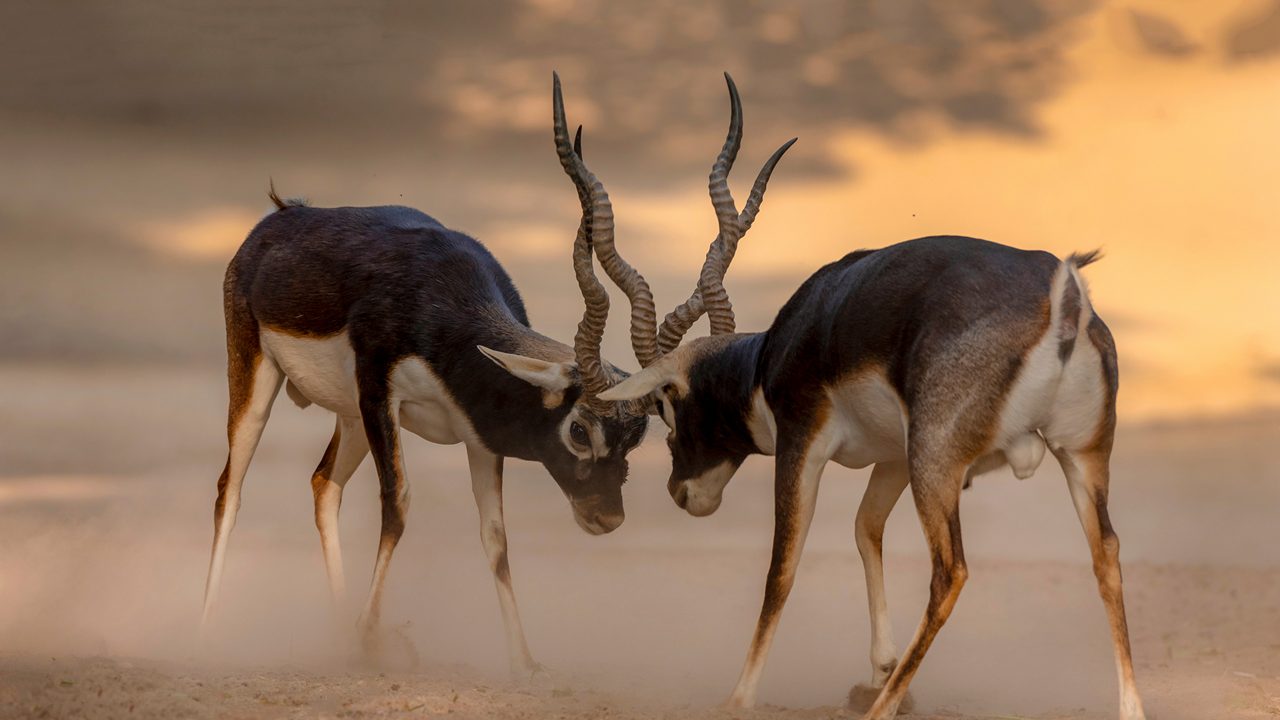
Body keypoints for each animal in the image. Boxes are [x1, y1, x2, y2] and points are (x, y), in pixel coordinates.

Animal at [586, 79, 1146, 717]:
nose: (682, 493)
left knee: (950, 572)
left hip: (937, 465)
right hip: (1078, 455)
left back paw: (880, 709)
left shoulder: (803, 443)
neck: (779, 350)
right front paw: (879, 670)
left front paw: (740, 695)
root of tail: (1062, 301)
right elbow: (864, 529)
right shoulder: (891, 458)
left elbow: (782, 567)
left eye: (667, 405)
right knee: (1107, 555)